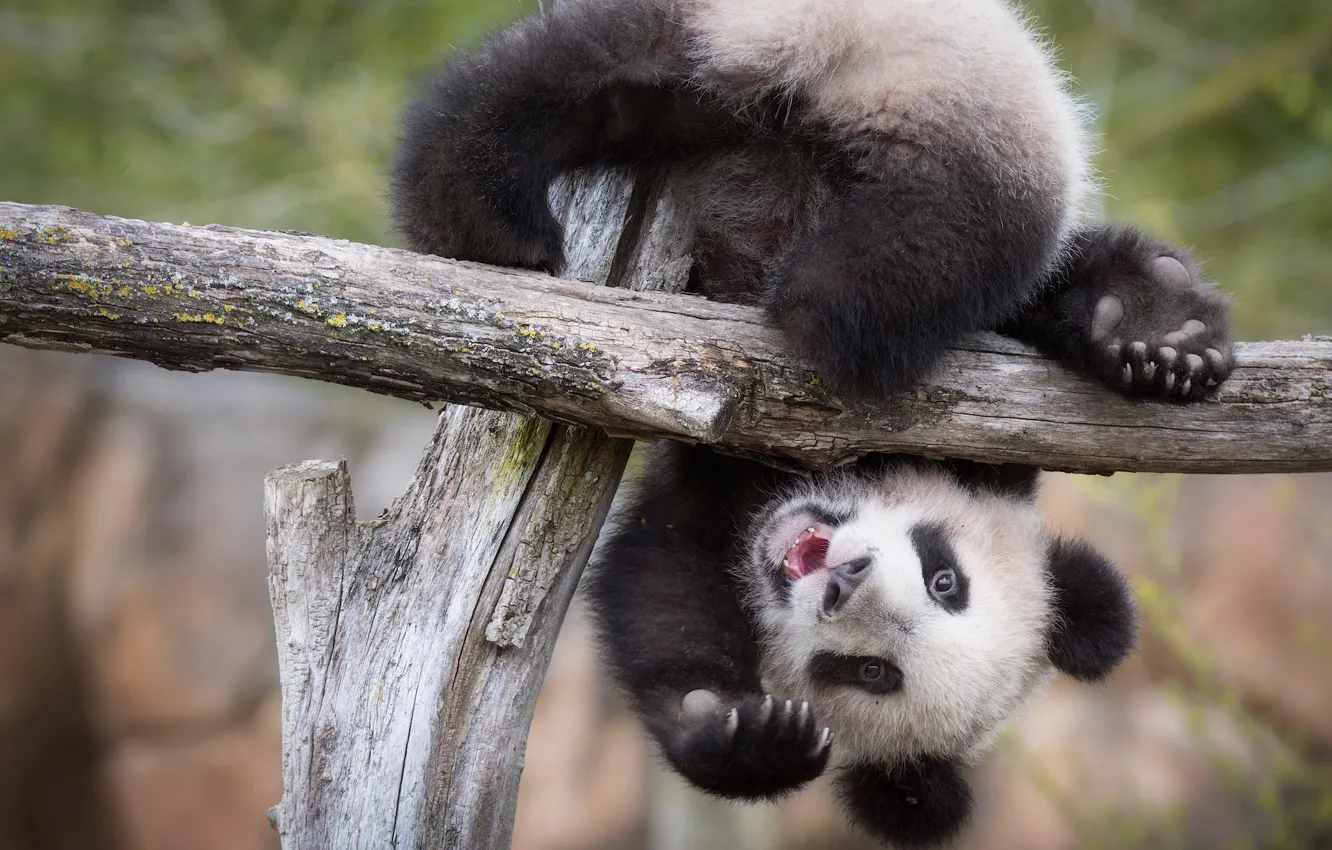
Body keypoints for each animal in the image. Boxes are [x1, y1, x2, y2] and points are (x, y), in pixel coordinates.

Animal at [389, 0, 1236, 845]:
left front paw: (740, 732)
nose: (845, 577)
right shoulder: (951, 450)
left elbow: (660, 574)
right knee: (951, 260)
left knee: (587, 79)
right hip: (971, 107)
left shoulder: (729, 490)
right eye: (946, 578)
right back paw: (1156, 325)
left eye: (870, 673)